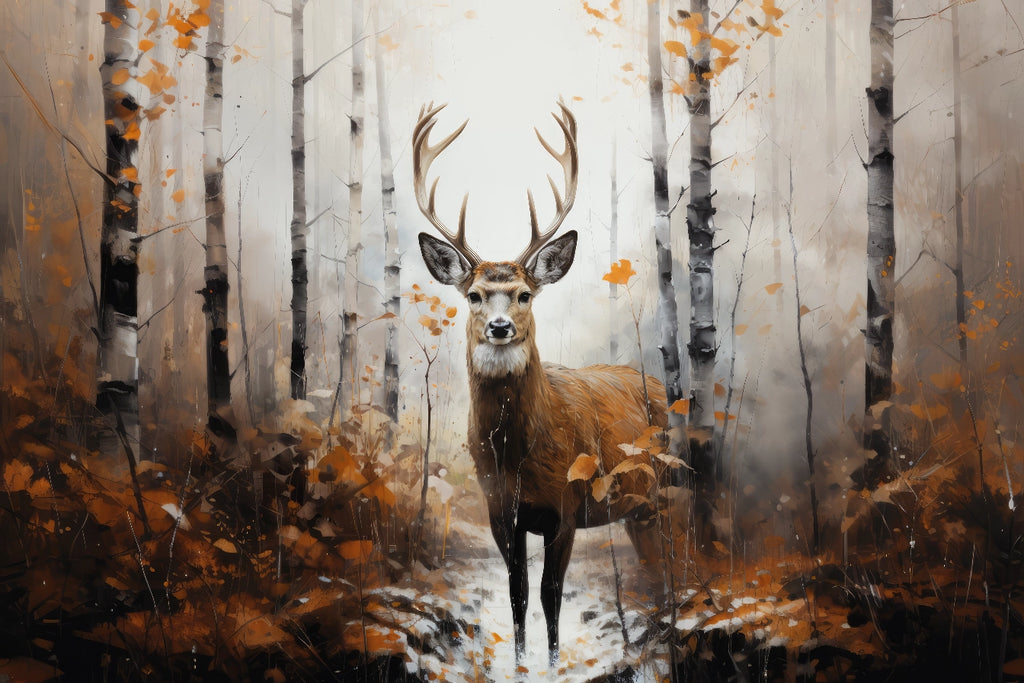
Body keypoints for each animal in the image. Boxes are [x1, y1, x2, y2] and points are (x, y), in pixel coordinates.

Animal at [413, 102, 670, 665]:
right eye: (474, 295)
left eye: (525, 294)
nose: (499, 327)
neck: (518, 455)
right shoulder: (499, 511)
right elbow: (518, 592)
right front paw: (521, 661)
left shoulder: (566, 506)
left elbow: (552, 594)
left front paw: (551, 662)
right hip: (638, 507)